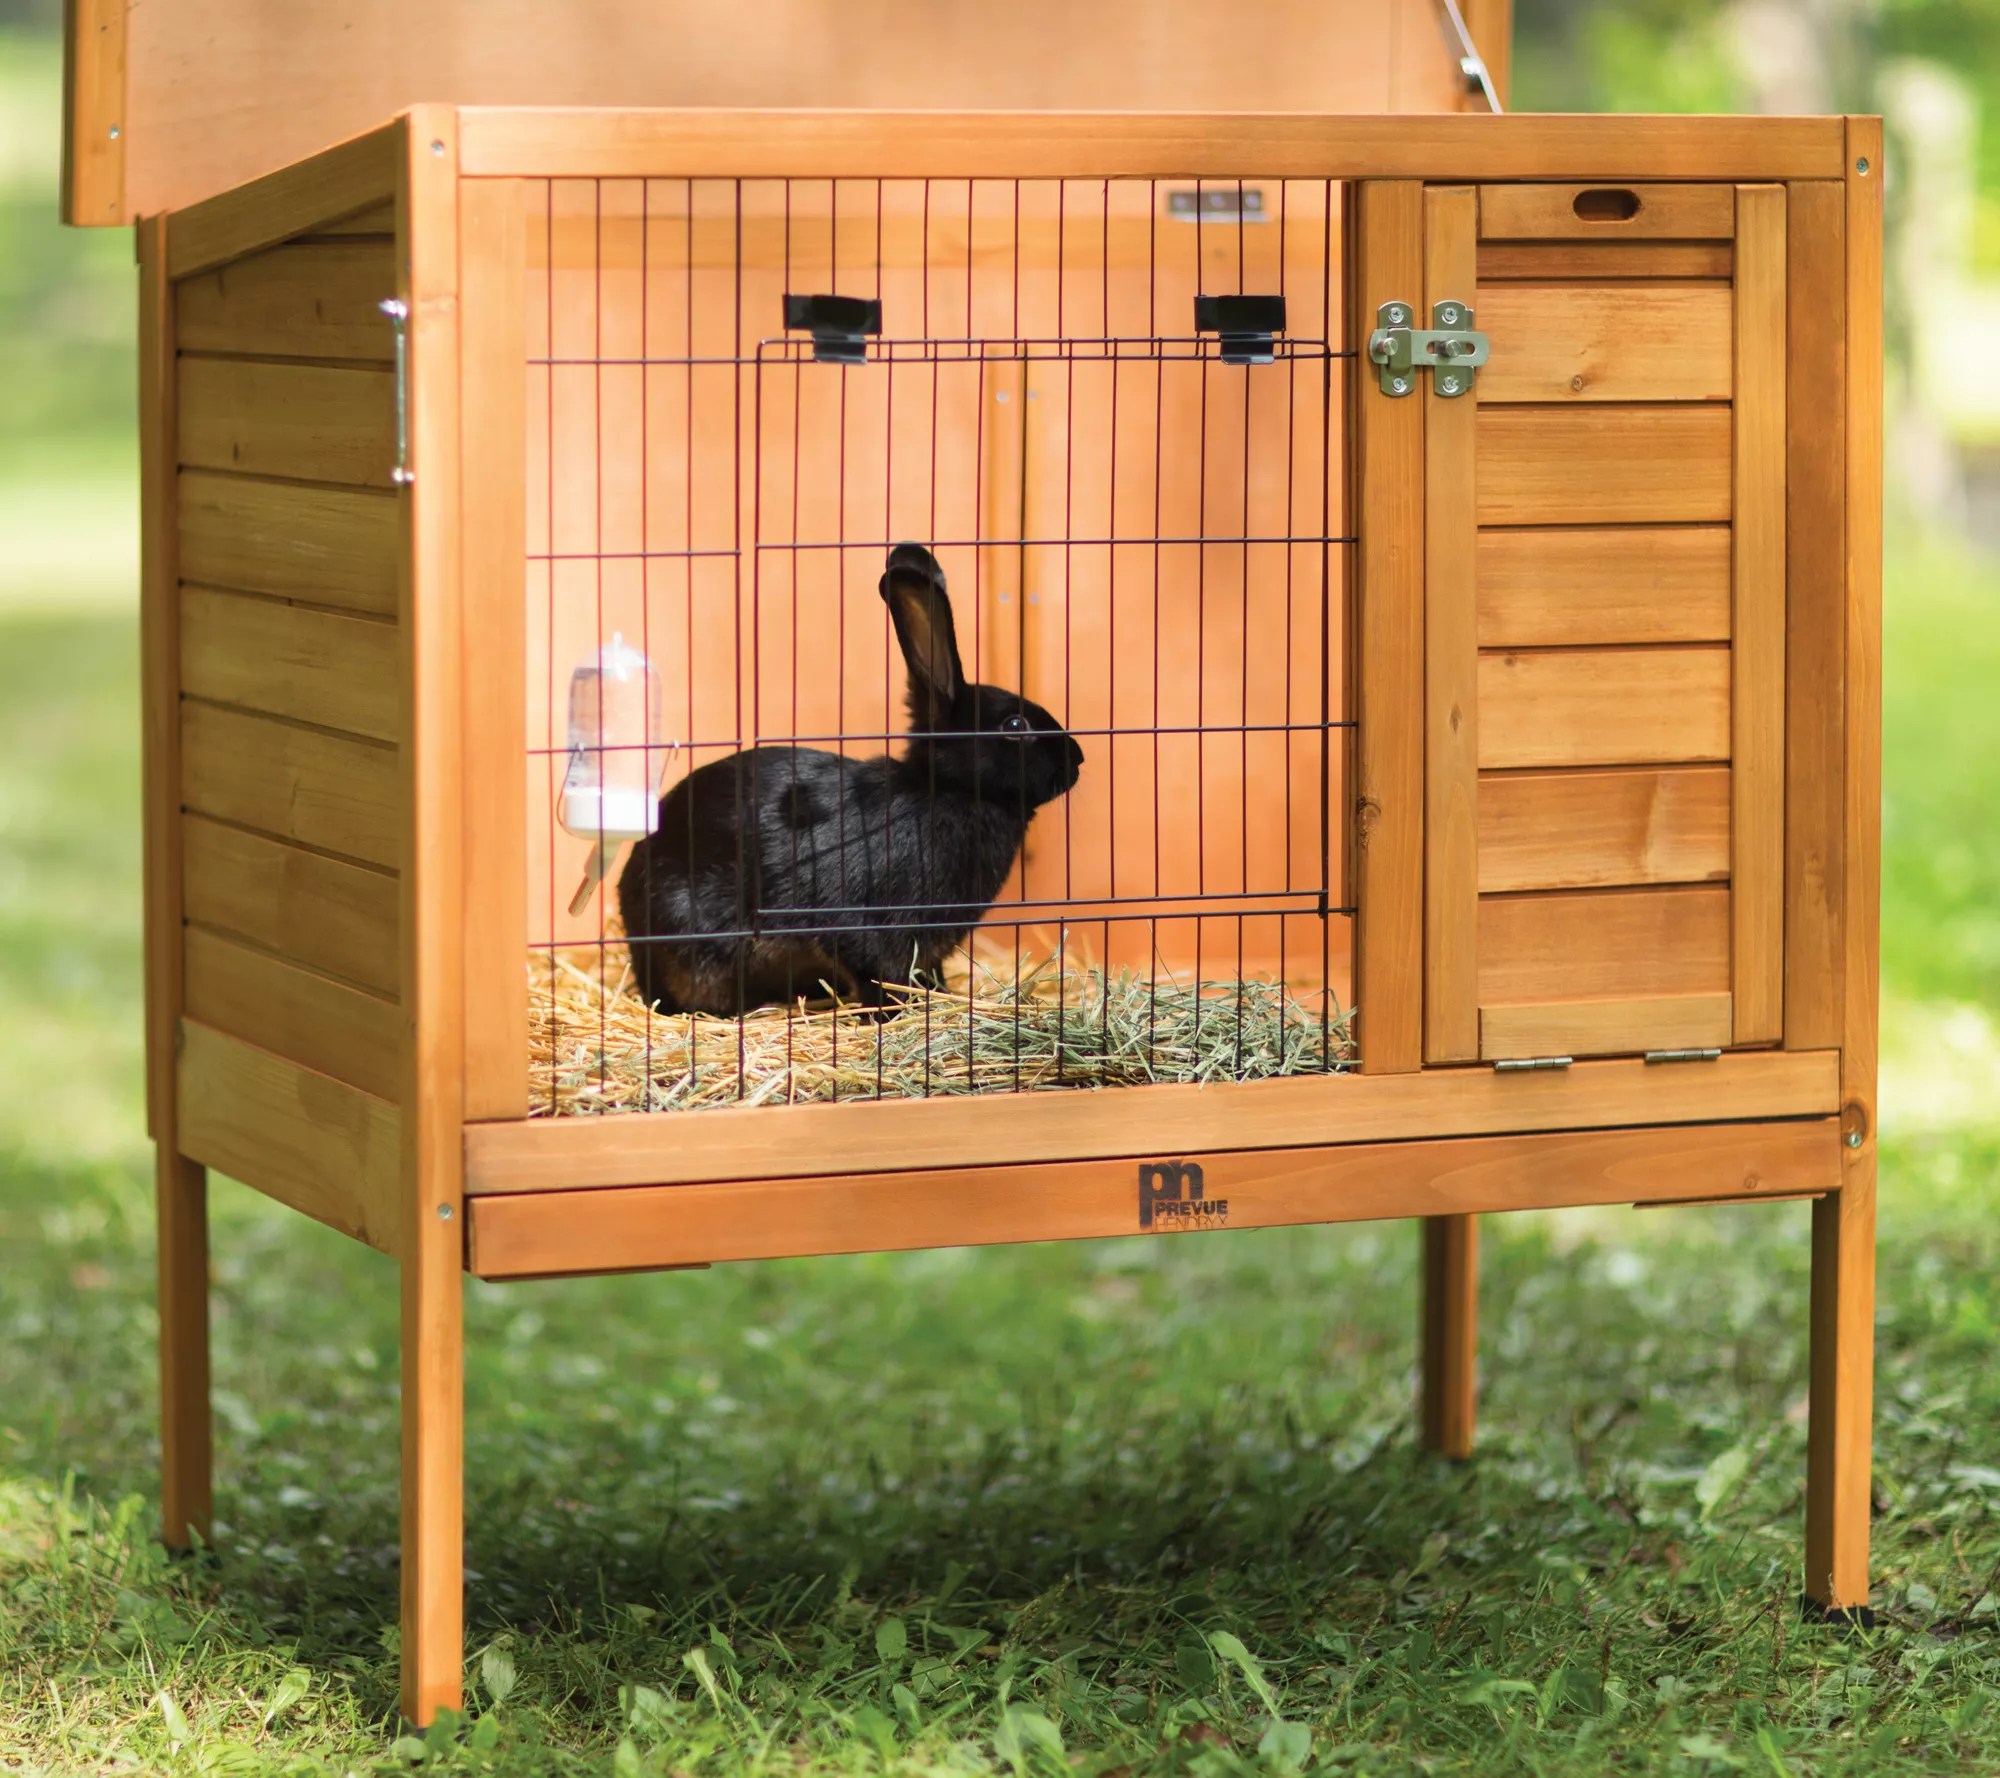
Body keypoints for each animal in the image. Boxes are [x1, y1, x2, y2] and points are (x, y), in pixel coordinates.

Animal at [617, 542, 1084, 1018]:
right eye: (1015, 724)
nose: (1078, 759)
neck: (946, 790)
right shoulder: (868, 927)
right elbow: (877, 972)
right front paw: (893, 1013)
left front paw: (941, 996)